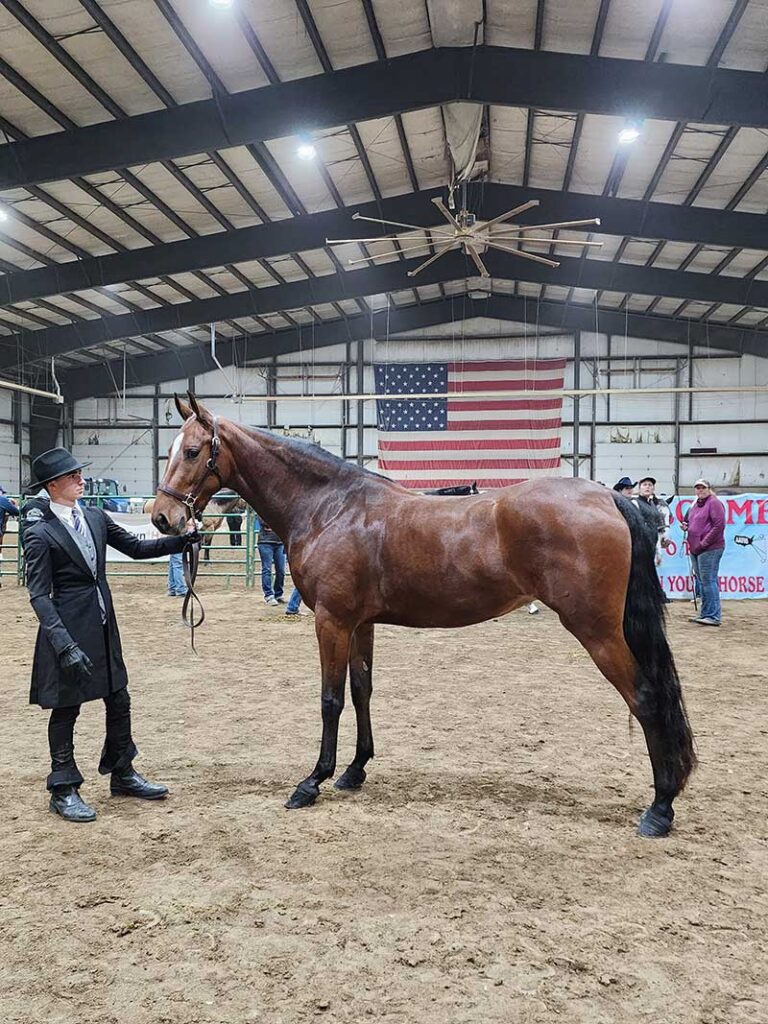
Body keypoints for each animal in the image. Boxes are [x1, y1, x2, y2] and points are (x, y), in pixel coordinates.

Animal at [151, 395, 696, 835]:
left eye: (194, 451)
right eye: (171, 449)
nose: (162, 518)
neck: (331, 507)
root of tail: (610, 497)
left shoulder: (331, 621)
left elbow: (330, 700)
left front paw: (312, 781)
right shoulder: (360, 624)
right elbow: (361, 690)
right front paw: (354, 771)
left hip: (598, 631)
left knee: (645, 698)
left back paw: (660, 808)